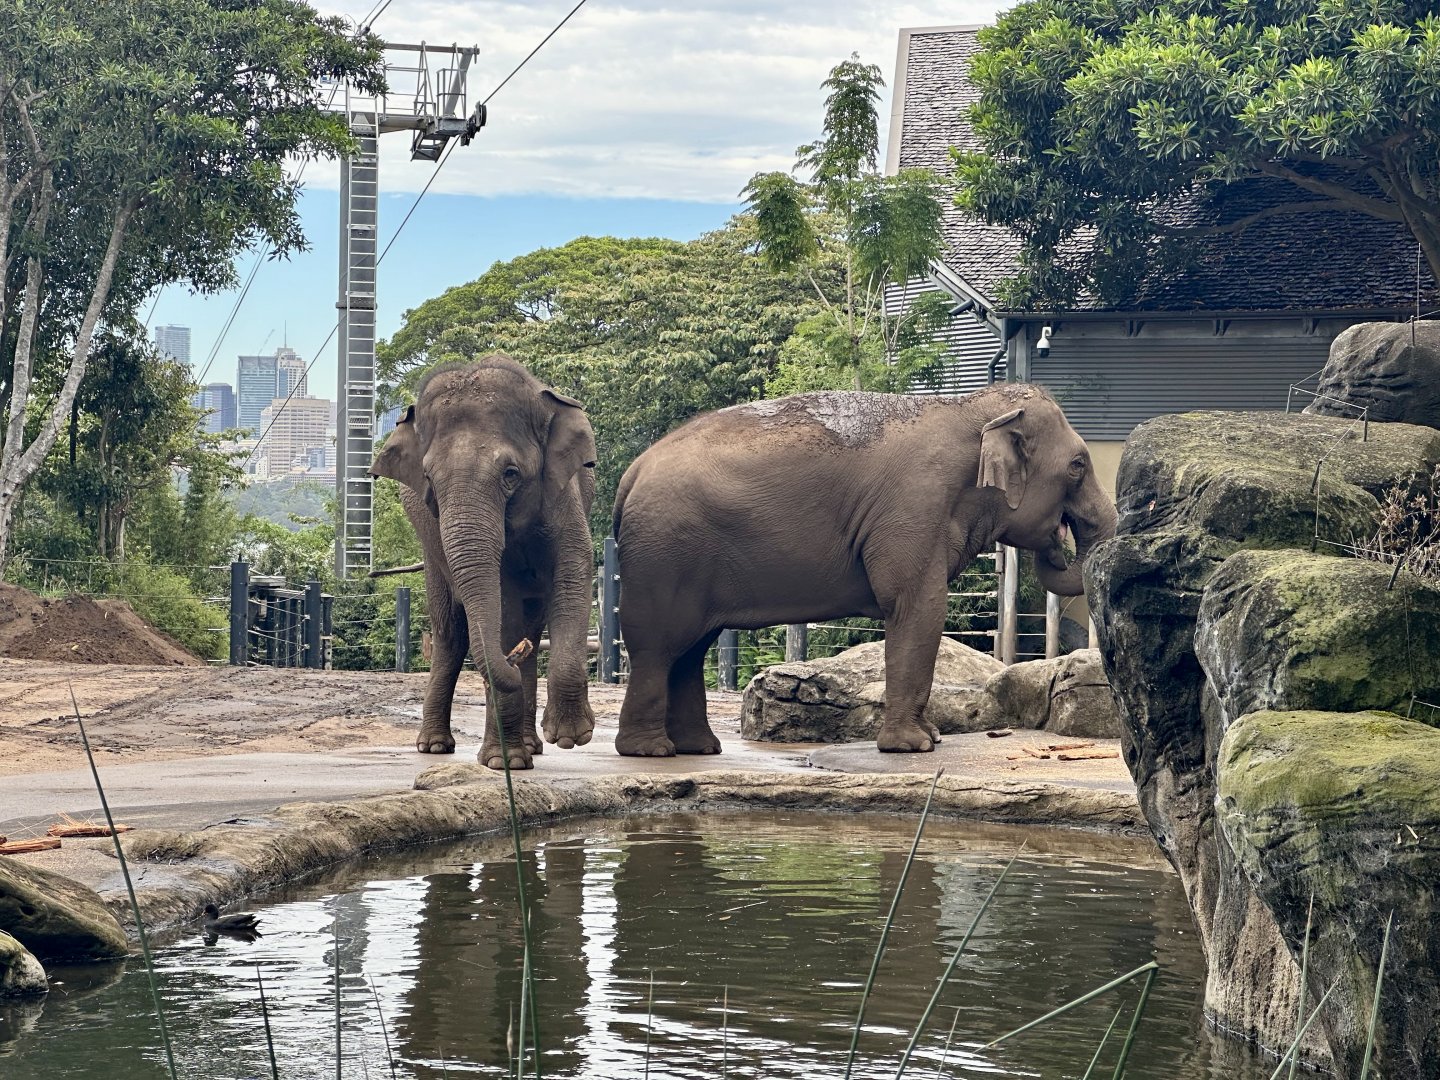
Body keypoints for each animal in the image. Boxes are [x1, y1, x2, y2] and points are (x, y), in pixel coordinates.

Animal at [369, 355, 598, 770]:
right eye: (428, 479)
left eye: (511, 474)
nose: (514, 656)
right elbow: (501, 603)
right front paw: (503, 763)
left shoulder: (564, 491)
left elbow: (573, 573)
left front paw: (570, 737)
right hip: (431, 553)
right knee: (451, 633)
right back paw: (436, 746)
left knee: (530, 620)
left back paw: (530, 741)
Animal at [610, 383, 1118, 756]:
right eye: (1078, 465)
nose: (1058, 540)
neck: (971, 407)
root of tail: (631, 473)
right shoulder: (914, 506)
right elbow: (918, 606)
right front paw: (914, 748)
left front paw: (929, 739)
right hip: (665, 553)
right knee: (659, 644)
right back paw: (651, 752)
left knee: (691, 648)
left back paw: (699, 749)